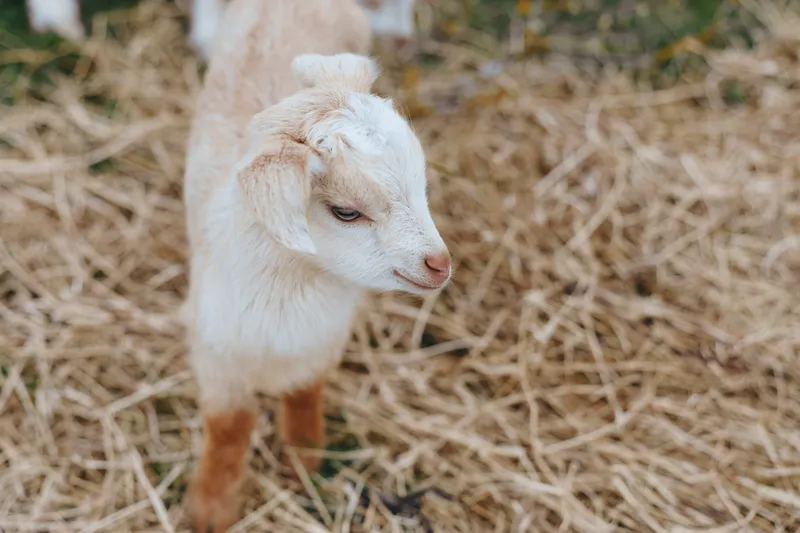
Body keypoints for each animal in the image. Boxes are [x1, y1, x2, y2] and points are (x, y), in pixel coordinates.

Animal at [181, 0, 449, 530]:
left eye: (421, 183)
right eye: (346, 211)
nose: (439, 264)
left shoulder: (321, 339)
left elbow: (305, 393)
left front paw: (305, 459)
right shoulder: (216, 353)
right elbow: (228, 429)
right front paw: (210, 510)